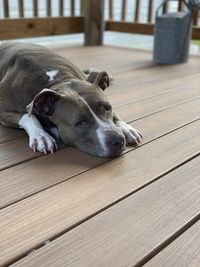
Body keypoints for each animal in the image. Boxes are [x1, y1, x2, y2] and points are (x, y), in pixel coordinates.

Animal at [0, 42, 142, 158]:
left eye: (108, 108)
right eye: (81, 123)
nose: (118, 140)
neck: (59, 81)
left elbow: (115, 115)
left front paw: (126, 128)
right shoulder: (2, 112)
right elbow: (27, 116)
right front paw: (41, 136)